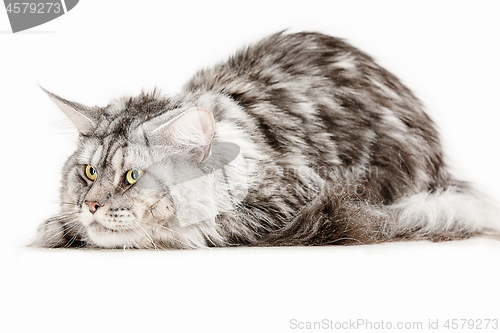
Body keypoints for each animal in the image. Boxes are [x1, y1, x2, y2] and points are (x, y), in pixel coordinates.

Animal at [33, 31, 498, 249]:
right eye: (89, 172)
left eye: (132, 177)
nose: (91, 205)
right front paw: (61, 225)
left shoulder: (294, 198)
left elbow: (197, 229)